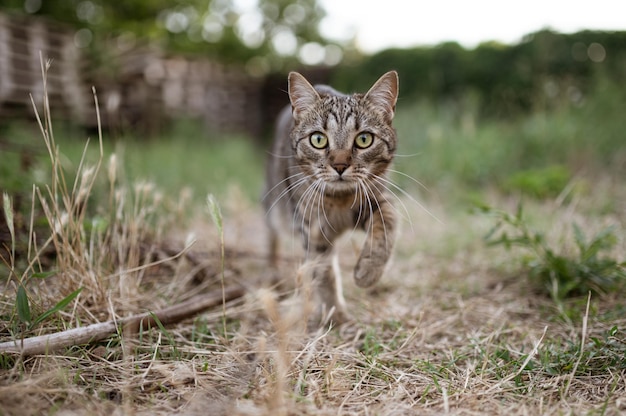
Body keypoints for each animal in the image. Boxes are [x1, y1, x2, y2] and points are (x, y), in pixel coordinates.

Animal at [260, 70, 398, 324]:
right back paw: (272, 273)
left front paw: (369, 271)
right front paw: (336, 313)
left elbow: (388, 225)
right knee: (271, 237)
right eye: (318, 139)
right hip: (273, 207)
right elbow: (324, 271)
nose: (340, 166)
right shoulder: (312, 227)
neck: (339, 199)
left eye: (364, 139)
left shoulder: (377, 199)